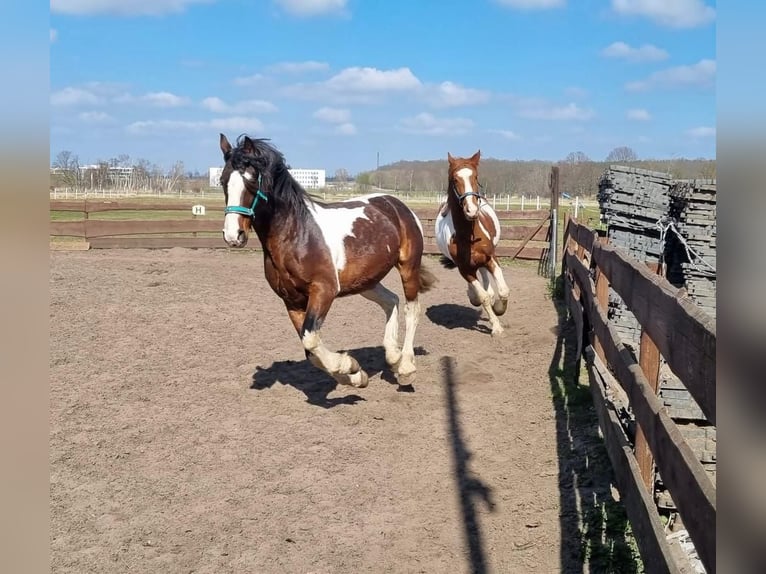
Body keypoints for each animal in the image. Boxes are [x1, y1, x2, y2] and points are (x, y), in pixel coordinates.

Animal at [218, 133, 436, 388]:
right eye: (222, 181)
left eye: (252, 181)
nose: (233, 235)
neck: (297, 236)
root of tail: (397, 204)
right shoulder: (291, 301)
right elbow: (310, 350)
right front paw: (355, 375)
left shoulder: (324, 290)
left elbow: (311, 340)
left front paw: (348, 365)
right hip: (366, 281)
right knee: (391, 300)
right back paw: (393, 356)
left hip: (408, 267)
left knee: (412, 309)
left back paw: (406, 367)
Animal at [434, 150, 510, 337]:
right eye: (455, 179)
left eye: (475, 177)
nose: (471, 210)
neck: (468, 236)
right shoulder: (465, 269)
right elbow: (483, 296)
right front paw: (496, 326)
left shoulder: (491, 258)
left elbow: (503, 290)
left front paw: (499, 309)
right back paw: (474, 295)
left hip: (483, 262)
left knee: (485, 277)